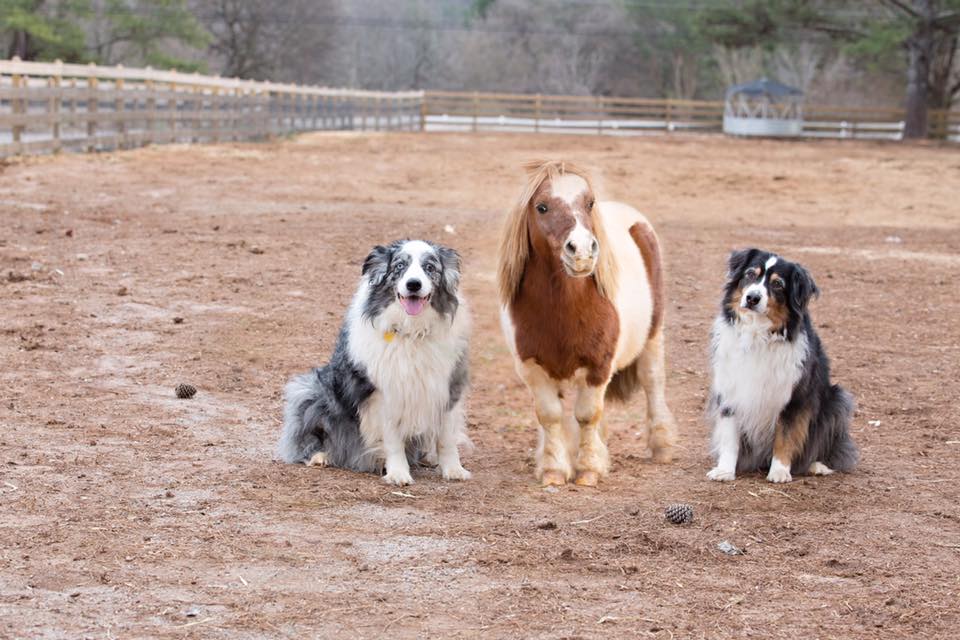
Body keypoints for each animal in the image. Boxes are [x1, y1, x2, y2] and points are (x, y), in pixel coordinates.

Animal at [498, 160, 680, 484]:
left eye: (589, 203)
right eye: (542, 207)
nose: (582, 251)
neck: (564, 310)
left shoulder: (599, 365)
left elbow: (586, 414)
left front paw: (588, 471)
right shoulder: (532, 366)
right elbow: (550, 415)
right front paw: (554, 469)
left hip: (653, 336)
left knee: (652, 381)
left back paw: (661, 446)